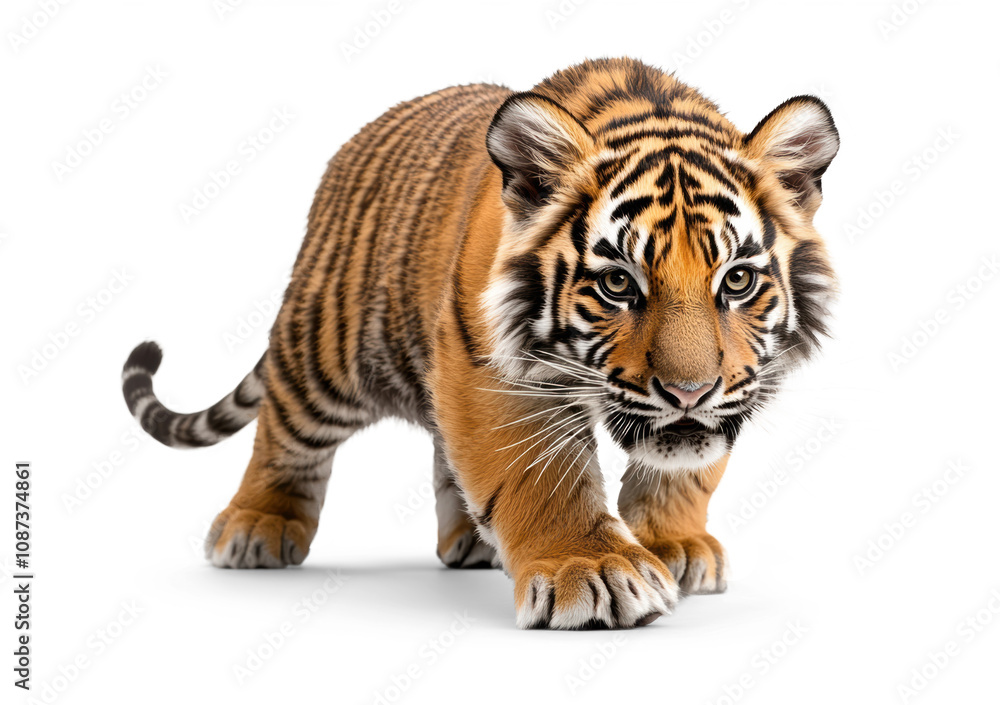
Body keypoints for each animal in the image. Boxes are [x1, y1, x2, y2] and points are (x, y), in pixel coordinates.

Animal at [121, 57, 838, 630]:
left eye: (737, 280)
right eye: (617, 283)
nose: (690, 392)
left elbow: (688, 470)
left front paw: (675, 544)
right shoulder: (493, 371)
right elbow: (538, 476)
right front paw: (594, 571)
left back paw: (471, 540)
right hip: (327, 352)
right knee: (284, 428)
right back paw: (256, 528)